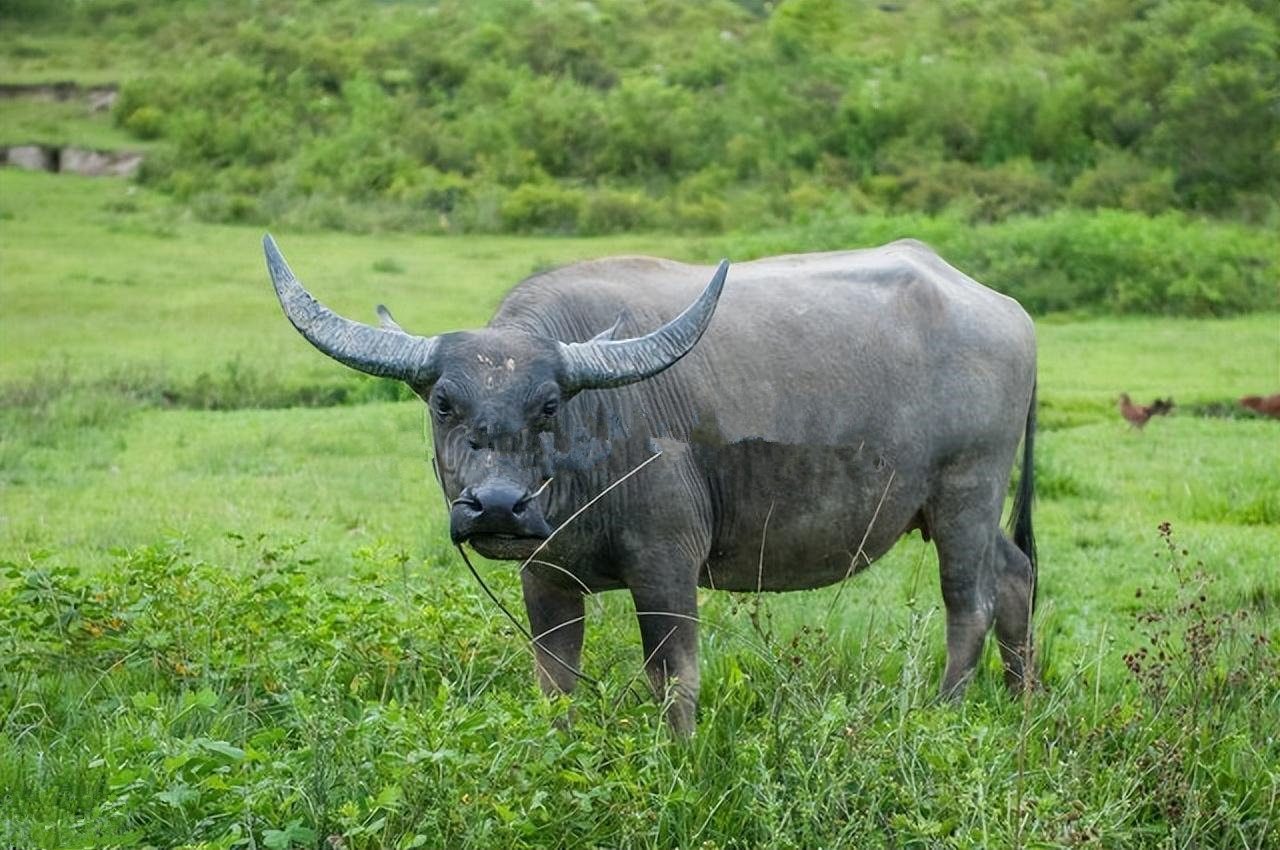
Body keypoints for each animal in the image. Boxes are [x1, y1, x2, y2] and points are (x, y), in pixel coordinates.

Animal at [264, 235, 1034, 732]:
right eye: (444, 403)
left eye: (550, 404)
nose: (499, 507)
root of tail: (1009, 313)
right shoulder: (545, 579)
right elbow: (555, 683)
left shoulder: (667, 566)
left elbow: (673, 682)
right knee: (1016, 576)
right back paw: (1023, 704)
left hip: (966, 493)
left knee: (969, 603)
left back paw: (944, 714)